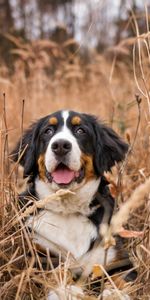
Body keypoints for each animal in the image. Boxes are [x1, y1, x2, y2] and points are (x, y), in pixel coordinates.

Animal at [11, 111, 136, 298]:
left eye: (80, 130)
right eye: (48, 131)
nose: (60, 145)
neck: (68, 209)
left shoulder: (118, 258)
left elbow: (120, 278)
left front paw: (114, 293)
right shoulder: (38, 253)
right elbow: (55, 273)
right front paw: (67, 290)